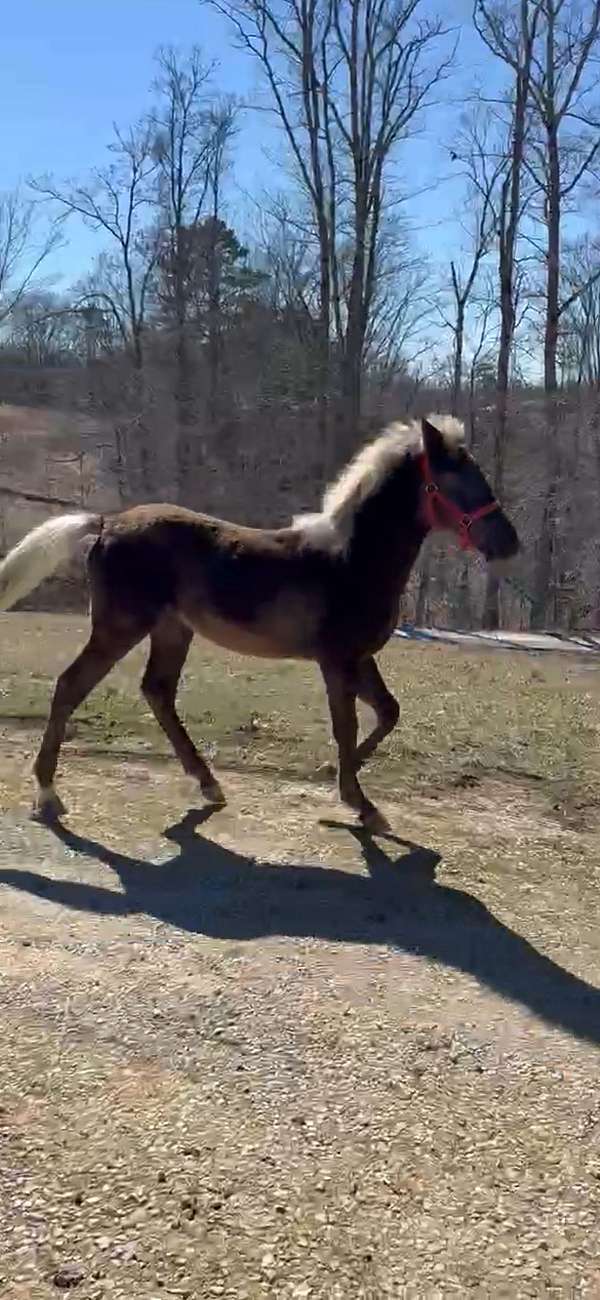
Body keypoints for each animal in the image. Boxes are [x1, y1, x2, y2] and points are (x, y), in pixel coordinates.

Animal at [0, 413, 516, 832]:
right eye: (457, 482)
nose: (509, 543)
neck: (351, 560)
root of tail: (106, 523)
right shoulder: (336, 661)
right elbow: (346, 725)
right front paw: (358, 801)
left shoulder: (360, 658)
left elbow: (388, 712)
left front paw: (340, 779)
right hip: (120, 626)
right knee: (72, 685)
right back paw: (48, 794)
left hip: (172, 629)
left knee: (157, 691)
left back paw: (208, 784)